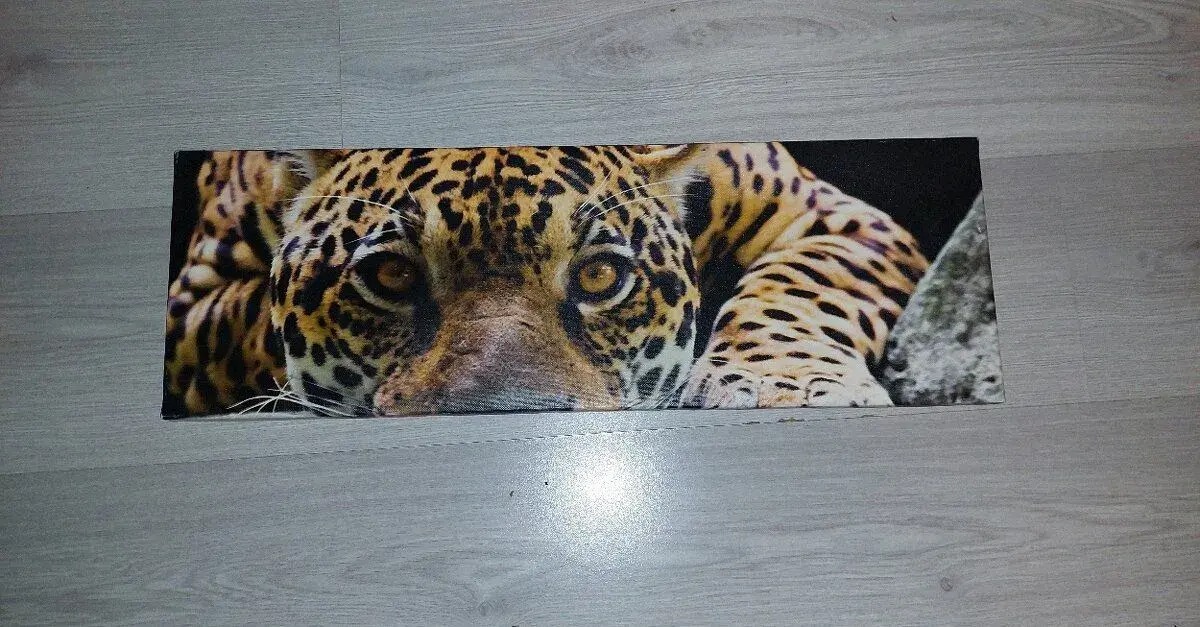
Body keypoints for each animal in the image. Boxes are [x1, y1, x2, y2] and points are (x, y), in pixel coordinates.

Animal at [163, 143, 928, 417]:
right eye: (391, 274)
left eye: (599, 275)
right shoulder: (192, 306)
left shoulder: (834, 218)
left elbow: (800, 288)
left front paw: (785, 384)